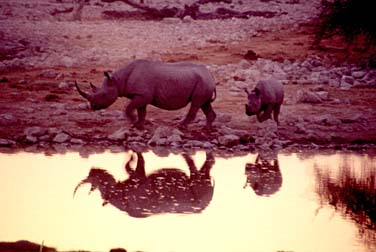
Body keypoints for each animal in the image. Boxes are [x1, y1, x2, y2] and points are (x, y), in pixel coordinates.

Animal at [75, 59, 217, 129]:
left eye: (103, 95)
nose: (93, 107)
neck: (118, 80)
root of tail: (211, 75)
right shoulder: (140, 95)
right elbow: (141, 111)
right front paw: (139, 125)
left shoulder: (143, 95)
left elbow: (129, 108)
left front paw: (133, 122)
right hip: (204, 82)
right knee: (204, 104)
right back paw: (206, 128)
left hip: (203, 82)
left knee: (196, 103)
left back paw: (181, 126)